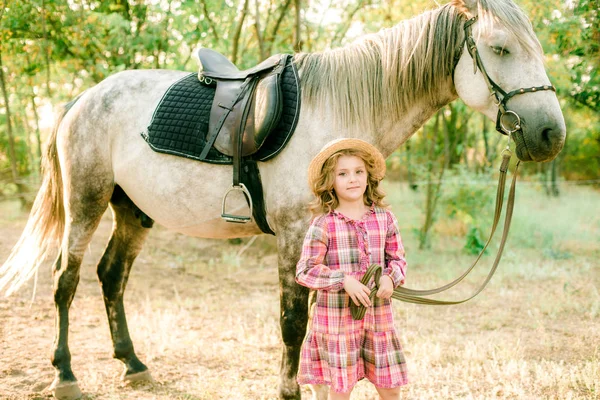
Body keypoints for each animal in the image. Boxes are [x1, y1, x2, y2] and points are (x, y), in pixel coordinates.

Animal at [0, 0, 564, 400]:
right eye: (500, 49)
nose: (550, 135)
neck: (336, 109)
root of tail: (85, 97)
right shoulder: (296, 236)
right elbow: (293, 323)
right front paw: (290, 390)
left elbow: (314, 318)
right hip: (87, 202)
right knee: (66, 281)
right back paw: (66, 375)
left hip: (133, 212)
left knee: (111, 277)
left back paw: (134, 365)